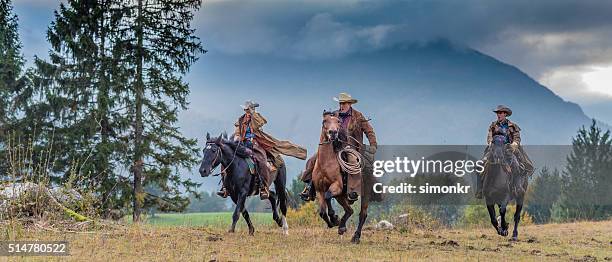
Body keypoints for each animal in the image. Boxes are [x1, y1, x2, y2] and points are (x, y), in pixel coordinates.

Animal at [310, 112, 368, 244]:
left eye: (338, 121)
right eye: (325, 121)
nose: (333, 132)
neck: (325, 163)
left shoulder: (337, 186)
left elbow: (328, 196)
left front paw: (334, 217)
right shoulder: (319, 190)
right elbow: (322, 212)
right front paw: (333, 222)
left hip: (363, 196)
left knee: (362, 214)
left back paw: (356, 237)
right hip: (341, 196)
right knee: (350, 210)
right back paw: (342, 227)